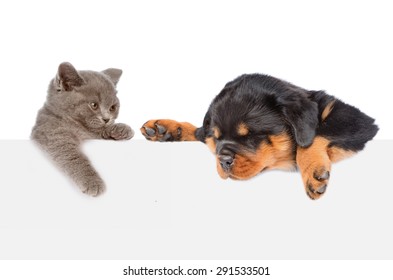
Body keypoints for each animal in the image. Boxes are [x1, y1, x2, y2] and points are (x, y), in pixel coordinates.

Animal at [31, 62, 135, 196]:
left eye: (112, 108)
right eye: (94, 105)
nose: (107, 119)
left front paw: (121, 129)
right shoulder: (54, 135)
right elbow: (74, 157)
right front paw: (93, 182)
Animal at [141, 74, 376, 199]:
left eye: (250, 135)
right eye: (217, 138)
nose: (223, 160)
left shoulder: (357, 120)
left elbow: (315, 136)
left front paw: (313, 171)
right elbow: (199, 131)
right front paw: (166, 128)